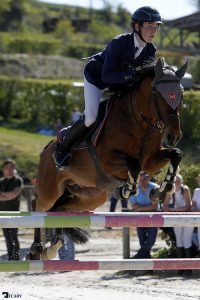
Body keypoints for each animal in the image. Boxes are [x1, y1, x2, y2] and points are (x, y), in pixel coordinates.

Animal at [27, 58, 188, 260]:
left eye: (181, 95)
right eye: (159, 95)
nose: (174, 135)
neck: (139, 121)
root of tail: (46, 149)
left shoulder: (151, 161)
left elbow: (176, 154)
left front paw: (161, 190)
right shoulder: (108, 160)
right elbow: (134, 165)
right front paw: (127, 189)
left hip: (91, 196)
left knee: (59, 210)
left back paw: (53, 246)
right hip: (50, 189)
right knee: (39, 205)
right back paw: (36, 248)